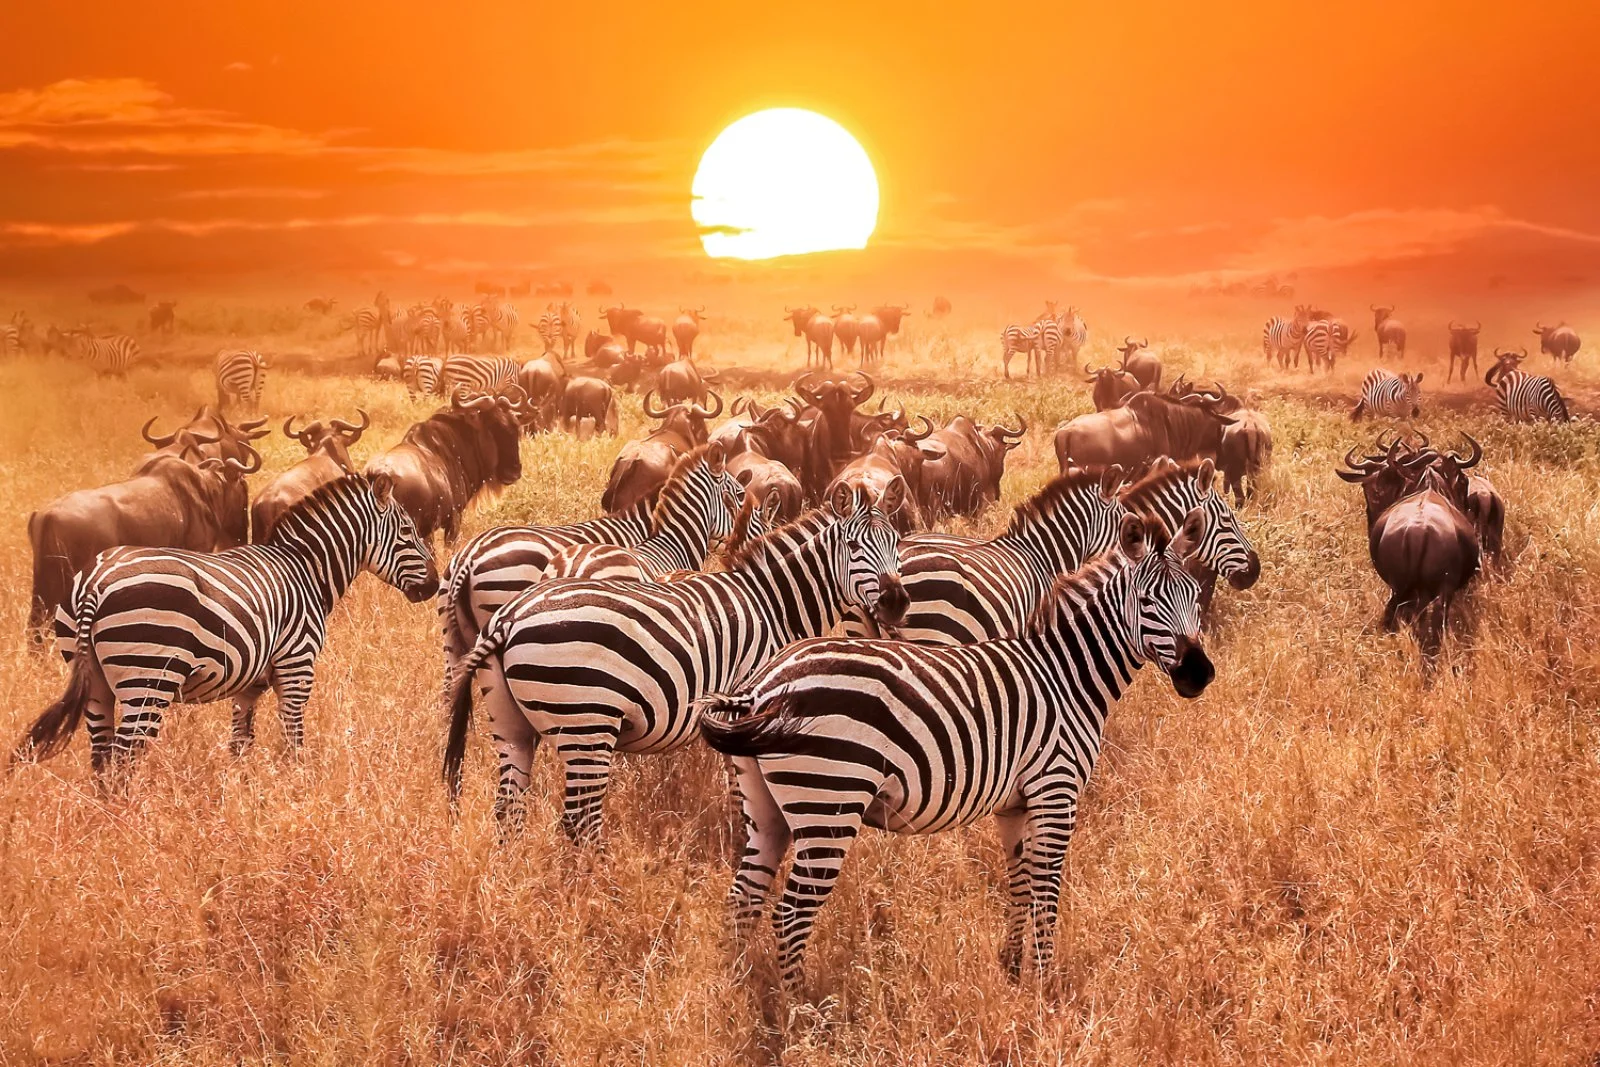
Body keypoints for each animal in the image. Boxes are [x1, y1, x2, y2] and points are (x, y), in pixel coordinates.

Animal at [14, 476, 438, 777]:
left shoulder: (249, 684)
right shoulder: (297, 667)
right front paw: (296, 791)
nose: (434, 586)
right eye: (407, 532)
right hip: (148, 678)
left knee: (101, 756)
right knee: (123, 757)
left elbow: (240, 743)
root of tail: (97, 581)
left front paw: (242, 795)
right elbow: (293, 740)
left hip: (94, 678)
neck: (304, 570)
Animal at [441, 486, 915, 844]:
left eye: (896, 544)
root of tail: (509, 618)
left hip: (511, 722)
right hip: (587, 723)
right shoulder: (745, 707)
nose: (896, 602)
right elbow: (739, 789)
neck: (771, 604)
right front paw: (739, 837)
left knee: (508, 807)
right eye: (853, 546)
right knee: (578, 821)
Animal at [700, 505, 1209, 991]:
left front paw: (1012, 967)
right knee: (790, 915)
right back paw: (802, 1011)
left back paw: (743, 990)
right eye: (1147, 602)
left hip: (766, 808)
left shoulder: (1014, 804)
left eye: (1195, 596)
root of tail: (762, 687)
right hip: (830, 800)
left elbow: (1019, 882)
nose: (1199, 674)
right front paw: (1044, 985)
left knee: (743, 898)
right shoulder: (1055, 790)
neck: (1066, 676)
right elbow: (1046, 890)